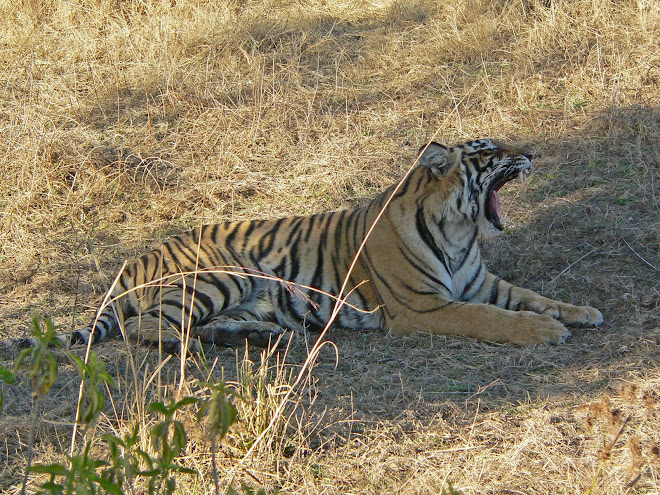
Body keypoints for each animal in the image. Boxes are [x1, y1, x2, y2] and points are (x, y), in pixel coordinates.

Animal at [16, 138, 604, 354]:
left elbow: (531, 296)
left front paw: (583, 311)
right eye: (488, 153)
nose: (530, 153)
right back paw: (203, 347)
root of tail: (135, 256)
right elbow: (493, 318)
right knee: (148, 329)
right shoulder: (424, 307)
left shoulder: (482, 283)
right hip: (218, 275)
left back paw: (255, 336)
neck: (461, 232)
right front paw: (546, 331)